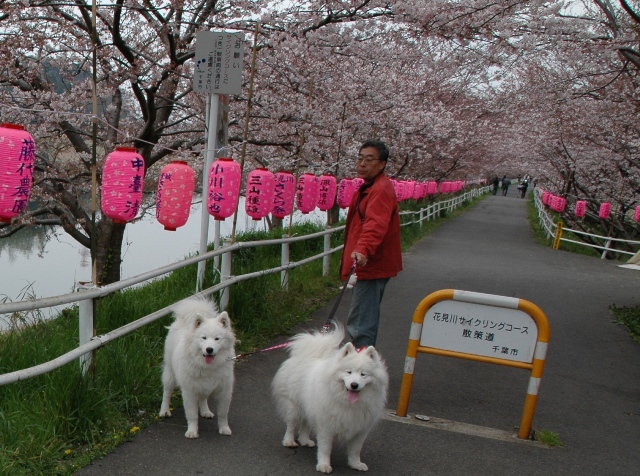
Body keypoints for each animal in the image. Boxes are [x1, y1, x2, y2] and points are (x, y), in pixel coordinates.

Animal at [159, 298, 235, 438]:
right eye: (203, 338)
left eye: (217, 339)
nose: (209, 349)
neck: (208, 366)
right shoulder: (189, 392)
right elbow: (192, 415)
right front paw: (192, 431)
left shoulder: (224, 391)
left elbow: (223, 414)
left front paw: (224, 428)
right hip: (170, 373)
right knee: (167, 392)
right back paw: (164, 411)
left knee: (203, 398)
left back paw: (205, 411)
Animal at [272, 324, 388, 472]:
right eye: (348, 372)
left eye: (363, 374)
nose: (354, 385)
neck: (348, 403)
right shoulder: (326, 426)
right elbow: (325, 448)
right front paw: (324, 465)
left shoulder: (360, 430)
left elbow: (355, 450)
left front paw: (356, 464)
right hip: (293, 406)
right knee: (291, 424)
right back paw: (289, 441)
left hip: (309, 406)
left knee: (305, 423)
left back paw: (305, 440)